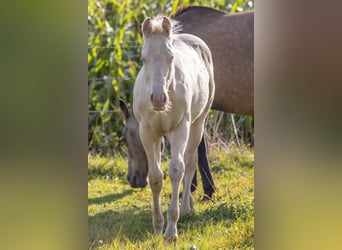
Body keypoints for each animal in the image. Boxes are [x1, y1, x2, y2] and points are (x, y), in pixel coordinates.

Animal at [133, 15, 215, 240]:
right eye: (143, 58)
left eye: (170, 57)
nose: (158, 99)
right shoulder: (147, 132)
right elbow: (155, 177)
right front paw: (157, 226)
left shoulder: (180, 128)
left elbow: (177, 169)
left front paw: (170, 230)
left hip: (197, 124)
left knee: (190, 161)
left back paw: (187, 208)